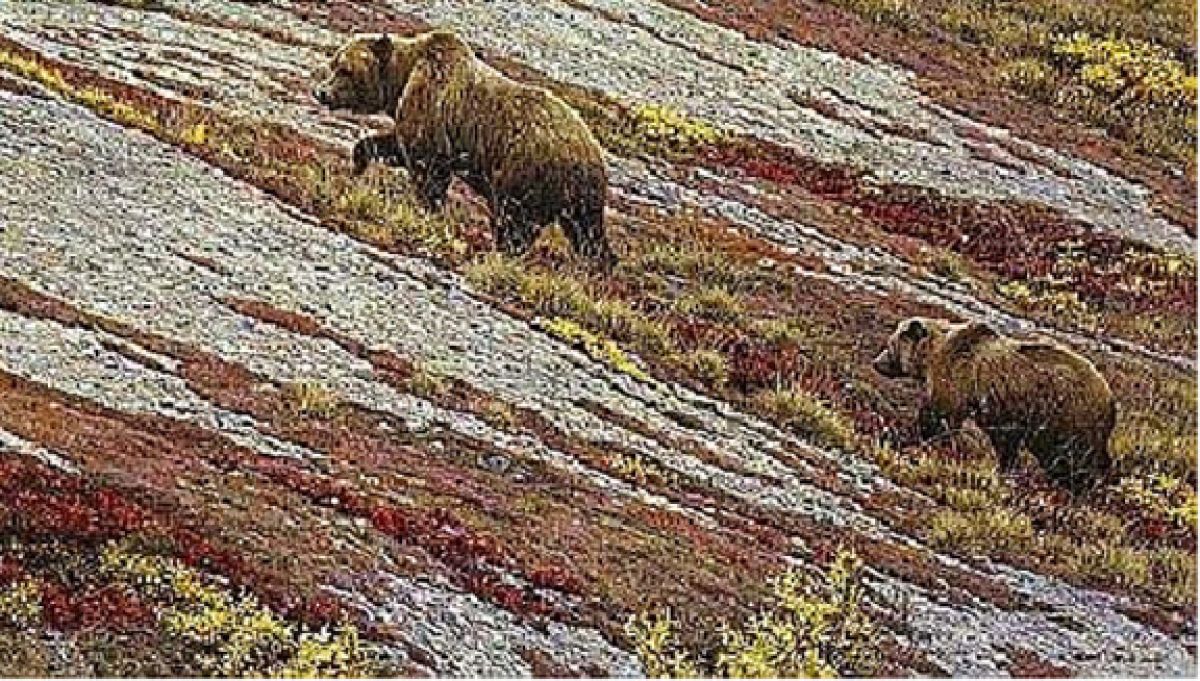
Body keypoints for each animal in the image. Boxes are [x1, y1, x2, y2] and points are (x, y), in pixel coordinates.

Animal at [312, 30, 616, 269]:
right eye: (334, 63)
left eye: (345, 69)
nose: (321, 92)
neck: (402, 79)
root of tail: (592, 155)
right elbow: (394, 146)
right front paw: (358, 164)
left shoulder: (431, 109)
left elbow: (426, 167)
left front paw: (429, 209)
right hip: (576, 198)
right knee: (587, 233)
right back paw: (597, 266)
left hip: (526, 174)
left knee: (514, 222)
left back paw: (498, 254)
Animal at [872, 317, 1116, 494]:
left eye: (890, 344)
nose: (876, 362)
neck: (932, 355)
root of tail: (1110, 398)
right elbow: (1004, 443)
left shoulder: (955, 377)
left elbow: (939, 416)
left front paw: (920, 440)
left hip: (1065, 417)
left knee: (1070, 458)